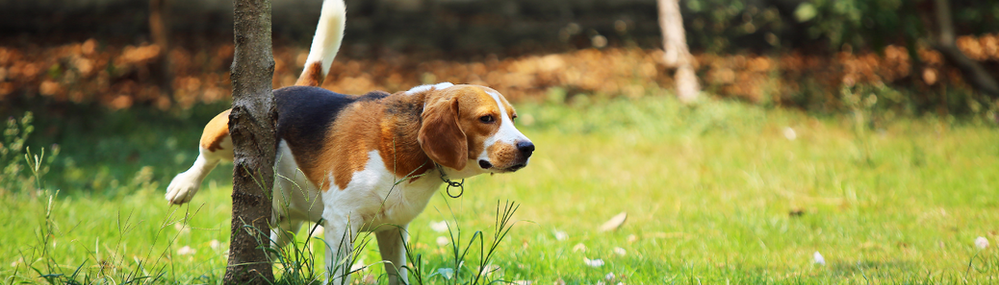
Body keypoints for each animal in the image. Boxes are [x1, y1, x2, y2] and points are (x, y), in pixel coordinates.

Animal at [164, 0, 536, 282]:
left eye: (513, 117)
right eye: (486, 119)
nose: (528, 148)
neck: (408, 150)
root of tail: (297, 87)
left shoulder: (393, 229)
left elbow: (397, 273)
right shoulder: (341, 224)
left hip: (287, 220)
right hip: (227, 127)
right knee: (206, 155)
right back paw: (183, 185)